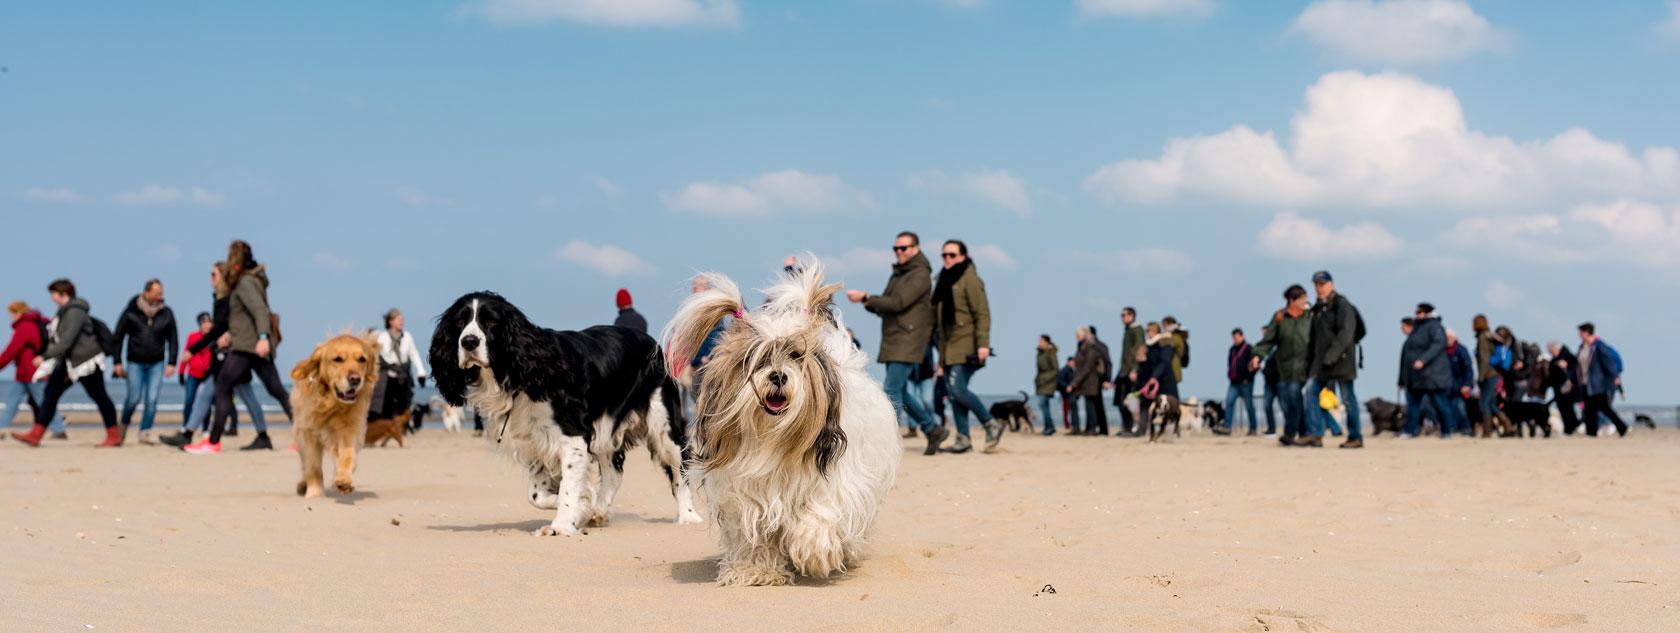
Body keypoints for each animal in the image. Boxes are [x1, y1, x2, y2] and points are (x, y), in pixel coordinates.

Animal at [290, 332, 379, 496]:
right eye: (338, 359)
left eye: (362, 359)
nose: (355, 379)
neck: (332, 405)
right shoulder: (309, 433)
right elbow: (313, 466)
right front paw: (314, 493)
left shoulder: (349, 429)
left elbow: (347, 456)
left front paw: (344, 480)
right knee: (305, 464)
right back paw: (303, 485)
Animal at [433, 290, 702, 533]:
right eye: (459, 322)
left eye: (491, 322)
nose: (468, 342)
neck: (523, 372)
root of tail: (652, 342)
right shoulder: (535, 440)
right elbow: (536, 494)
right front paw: (584, 505)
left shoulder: (571, 436)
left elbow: (568, 486)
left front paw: (563, 524)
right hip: (604, 429)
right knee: (613, 474)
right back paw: (599, 512)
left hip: (663, 425)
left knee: (679, 470)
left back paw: (688, 516)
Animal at [665, 258, 907, 584]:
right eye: (756, 359)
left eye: (795, 355)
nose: (778, 375)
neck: (775, 440)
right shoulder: (745, 494)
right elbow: (752, 532)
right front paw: (755, 570)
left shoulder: (838, 480)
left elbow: (822, 512)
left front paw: (814, 549)